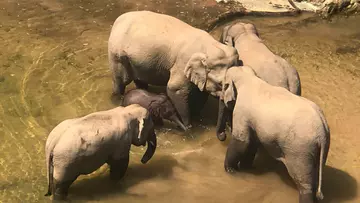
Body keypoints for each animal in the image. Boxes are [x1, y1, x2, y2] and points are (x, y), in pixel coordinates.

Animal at [108, 10, 240, 127]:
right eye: (220, 84)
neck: (210, 46)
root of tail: (117, 21)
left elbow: (200, 93)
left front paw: (197, 118)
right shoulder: (182, 63)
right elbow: (175, 89)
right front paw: (188, 126)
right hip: (117, 56)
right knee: (121, 81)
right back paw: (116, 100)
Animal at [218, 66, 330, 203]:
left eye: (223, 86)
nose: (223, 135)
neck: (249, 78)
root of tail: (322, 130)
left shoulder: (242, 111)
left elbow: (242, 142)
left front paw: (231, 171)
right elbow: (252, 143)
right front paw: (245, 168)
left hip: (301, 151)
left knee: (304, 183)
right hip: (320, 150)